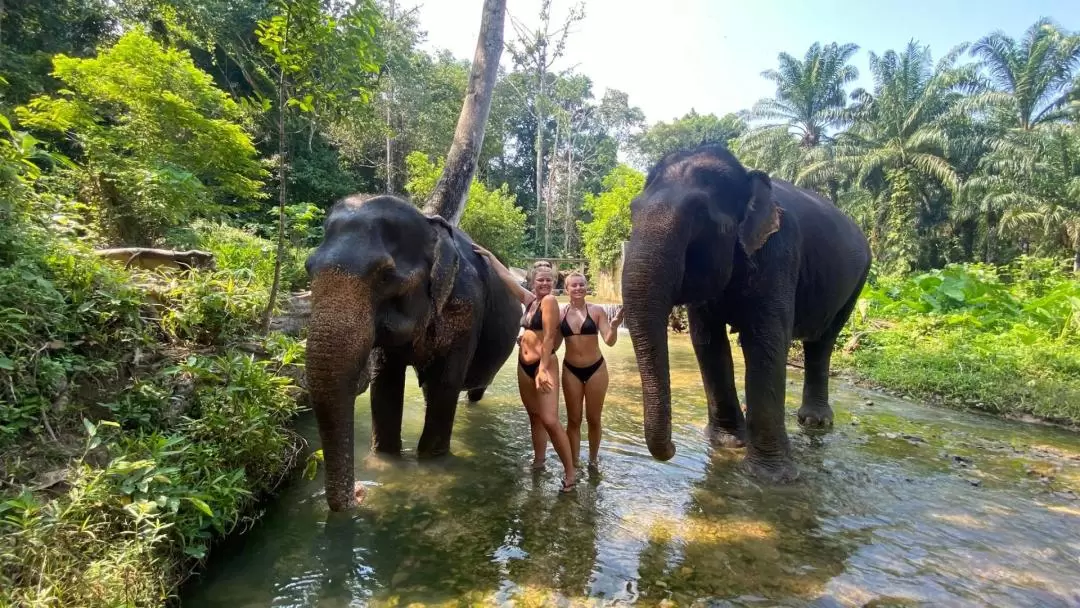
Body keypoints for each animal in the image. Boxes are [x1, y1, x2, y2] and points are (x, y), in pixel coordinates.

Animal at [304, 194, 522, 509]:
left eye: (385, 276)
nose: (359, 491)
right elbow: (385, 382)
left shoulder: (466, 310)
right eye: (308, 268)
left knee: (472, 390)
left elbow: (445, 383)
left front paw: (431, 465)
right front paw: (385, 462)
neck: (429, 224)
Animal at [622, 143, 872, 485]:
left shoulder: (779, 251)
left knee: (823, 342)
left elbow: (766, 341)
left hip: (858, 283)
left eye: (701, 217)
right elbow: (707, 341)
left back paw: (815, 422)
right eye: (633, 210)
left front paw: (773, 477)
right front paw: (727, 443)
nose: (672, 449)